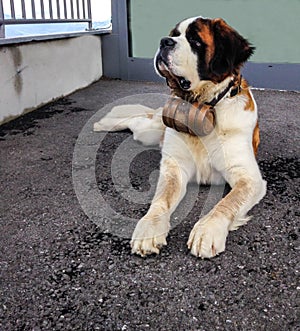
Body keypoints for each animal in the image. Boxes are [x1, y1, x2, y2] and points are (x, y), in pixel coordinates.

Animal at [94, 16, 268, 260]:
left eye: (195, 40)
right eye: (174, 35)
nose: (164, 41)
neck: (205, 105)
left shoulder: (249, 178)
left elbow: (227, 202)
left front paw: (206, 231)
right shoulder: (175, 167)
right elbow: (162, 198)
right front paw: (149, 228)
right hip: (149, 130)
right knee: (135, 119)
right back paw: (102, 124)